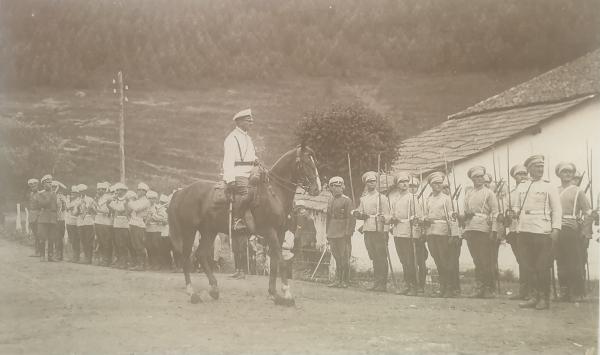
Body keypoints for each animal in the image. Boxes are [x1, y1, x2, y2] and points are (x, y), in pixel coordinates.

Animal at [166, 146, 322, 304]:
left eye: (315, 162)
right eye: (306, 162)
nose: (317, 189)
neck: (274, 194)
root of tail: (181, 192)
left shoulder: (280, 233)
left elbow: (274, 263)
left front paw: (274, 293)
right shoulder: (270, 231)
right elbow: (281, 262)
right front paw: (287, 294)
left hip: (209, 231)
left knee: (201, 254)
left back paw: (214, 289)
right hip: (189, 232)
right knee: (186, 258)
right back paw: (192, 293)